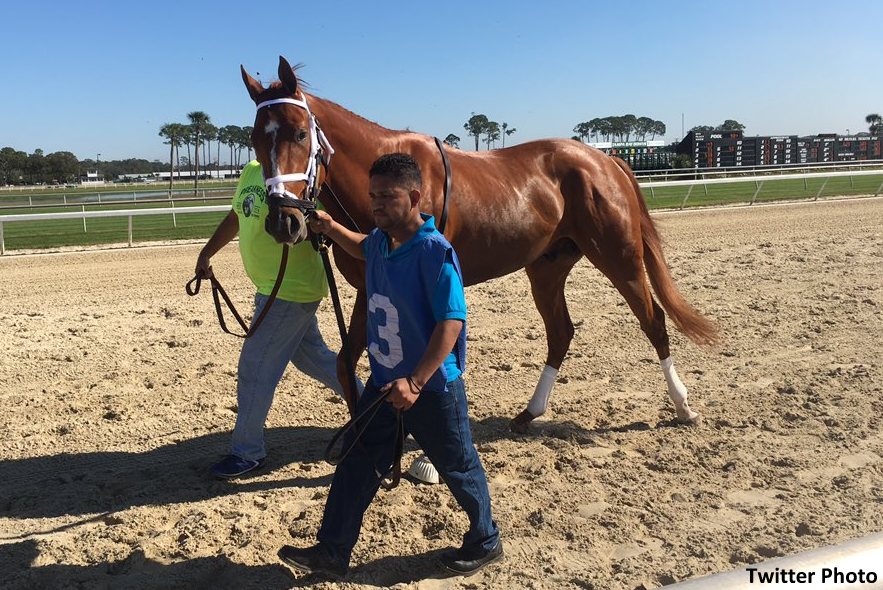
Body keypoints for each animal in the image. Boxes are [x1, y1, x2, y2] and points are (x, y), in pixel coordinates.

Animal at [240, 57, 720, 432]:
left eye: (300, 134)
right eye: (256, 139)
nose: (283, 220)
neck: (390, 177)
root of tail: (606, 159)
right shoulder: (370, 284)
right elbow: (347, 360)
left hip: (619, 256)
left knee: (653, 320)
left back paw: (683, 406)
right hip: (547, 267)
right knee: (561, 332)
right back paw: (529, 413)